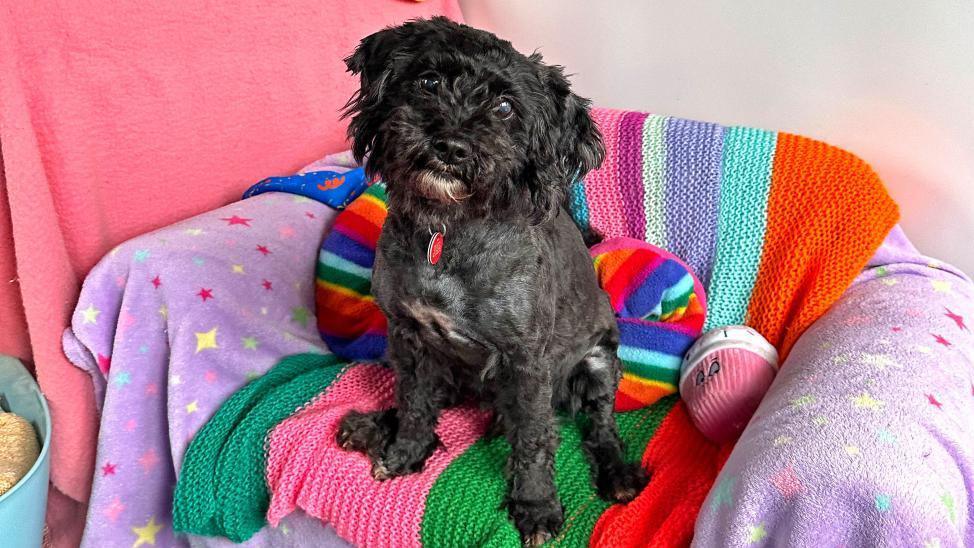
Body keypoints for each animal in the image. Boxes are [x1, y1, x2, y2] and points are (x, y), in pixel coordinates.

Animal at [336, 16, 648, 544]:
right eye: (429, 81)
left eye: (504, 108)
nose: (450, 145)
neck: (446, 230)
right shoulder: (410, 338)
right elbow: (414, 402)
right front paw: (404, 453)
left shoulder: (527, 363)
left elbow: (535, 439)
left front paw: (536, 506)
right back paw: (374, 427)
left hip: (599, 364)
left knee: (600, 426)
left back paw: (618, 474)